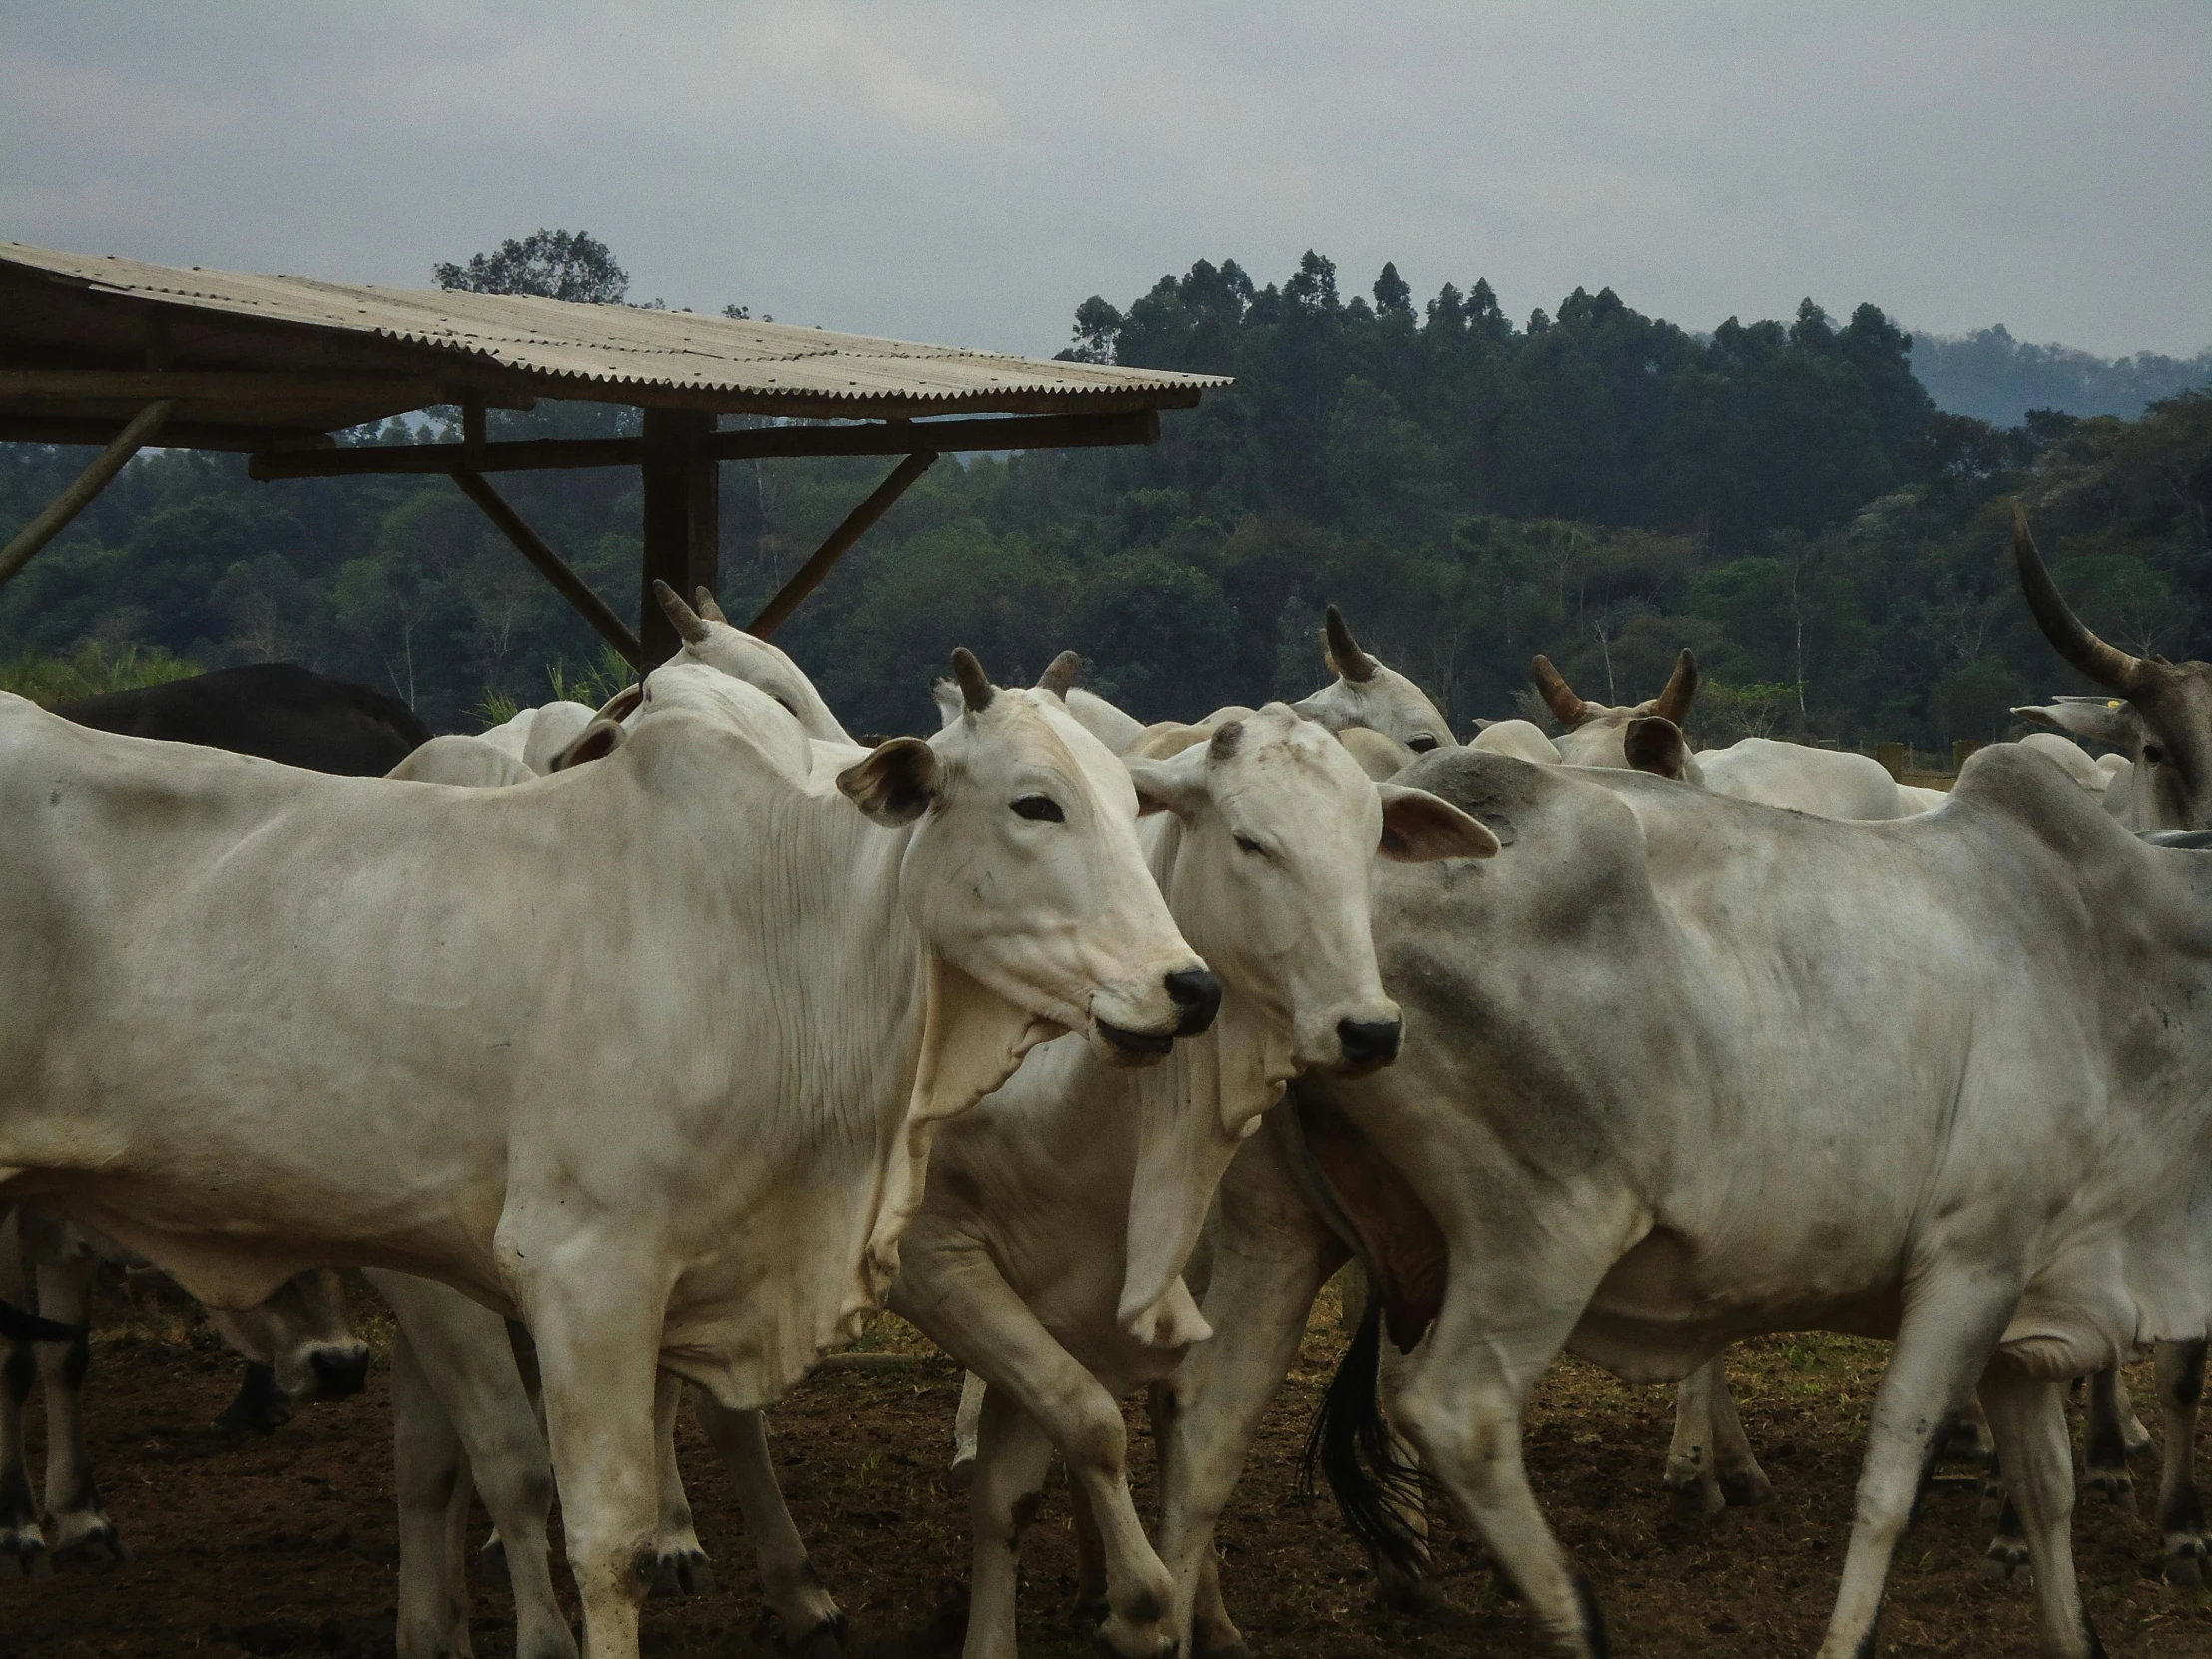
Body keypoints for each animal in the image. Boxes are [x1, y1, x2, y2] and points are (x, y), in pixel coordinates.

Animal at [0, 654, 1212, 1659]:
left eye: (1128, 800)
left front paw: (1144, 1597)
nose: (1189, 986)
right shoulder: (581, 1273)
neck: (770, 939)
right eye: (1033, 801)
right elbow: (597, 1537)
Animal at [1159, 752, 2212, 1659]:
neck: (2115, 969)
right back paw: (1575, 1617)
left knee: (1207, 1430)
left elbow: (2047, 1489)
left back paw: (1177, 1620)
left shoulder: (2033, 1299)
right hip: (1544, 1233)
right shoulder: (1970, 1265)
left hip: (1278, 1232)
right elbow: (1892, 1483)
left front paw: (2076, 1636)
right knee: (1456, 1412)